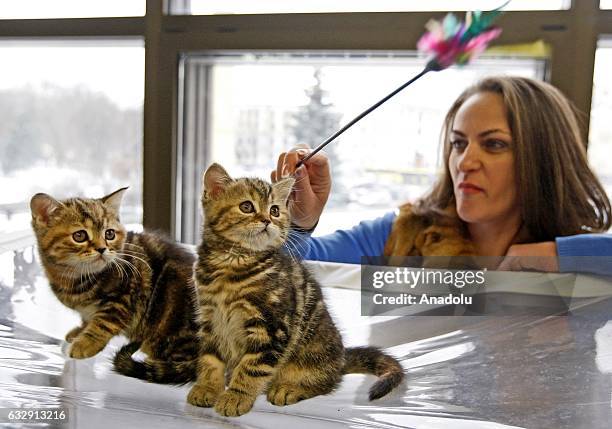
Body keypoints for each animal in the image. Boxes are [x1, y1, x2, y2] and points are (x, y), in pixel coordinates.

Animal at [29, 188, 197, 382]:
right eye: (79, 236)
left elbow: (103, 323)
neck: (75, 277)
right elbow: (88, 318)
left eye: (109, 234)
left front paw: (84, 344)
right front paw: (78, 332)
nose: (102, 248)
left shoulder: (125, 296)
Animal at [189, 163, 404, 414]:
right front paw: (207, 387)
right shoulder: (211, 320)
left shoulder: (272, 327)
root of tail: (341, 357)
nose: (267, 220)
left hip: (313, 351)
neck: (232, 263)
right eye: (246, 207)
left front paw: (236, 396)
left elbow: (252, 366)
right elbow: (209, 359)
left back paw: (290, 388)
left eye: (274, 210)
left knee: (327, 381)